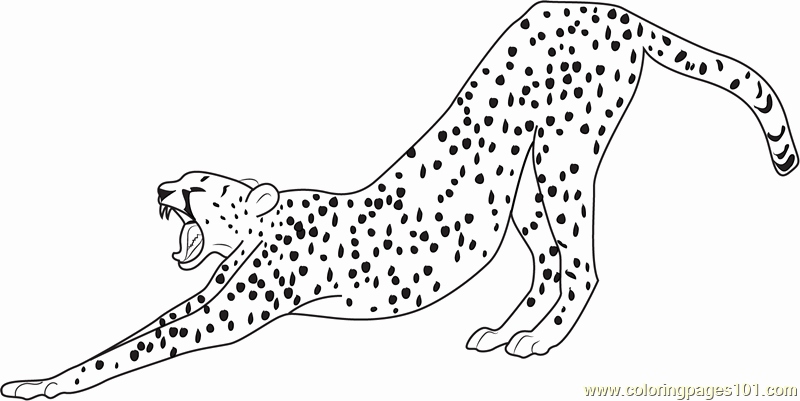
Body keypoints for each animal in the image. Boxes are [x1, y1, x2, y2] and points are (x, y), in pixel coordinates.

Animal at [2, 1, 796, 399]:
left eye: (200, 189)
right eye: (181, 179)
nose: (162, 189)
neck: (258, 228)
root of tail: (609, 8)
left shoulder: (227, 315)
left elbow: (131, 351)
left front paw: (46, 384)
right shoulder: (205, 296)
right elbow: (126, 335)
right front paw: (40, 374)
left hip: (567, 153)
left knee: (583, 264)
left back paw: (541, 341)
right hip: (524, 186)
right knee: (545, 260)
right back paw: (506, 332)